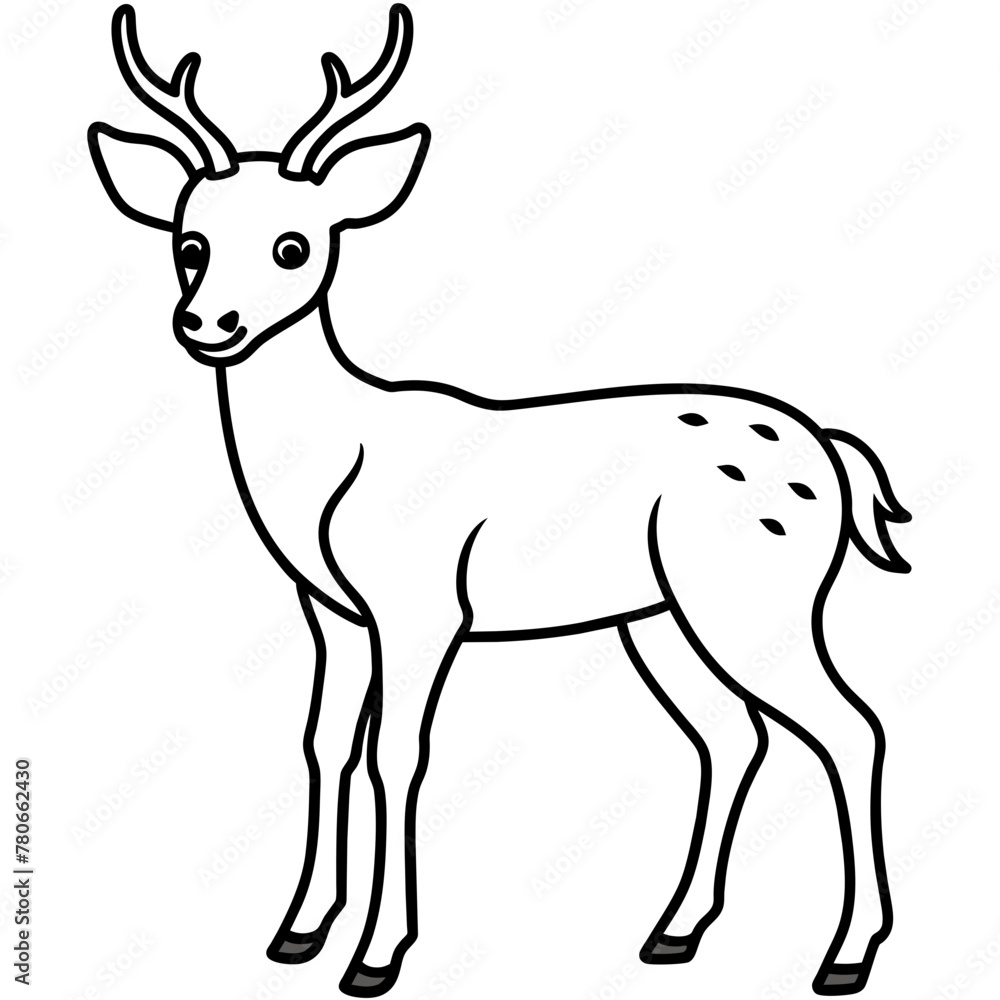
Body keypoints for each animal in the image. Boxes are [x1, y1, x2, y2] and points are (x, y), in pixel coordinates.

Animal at [89, 5, 911, 996]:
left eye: (296, 245)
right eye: (189, 242)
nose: (209, 324)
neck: (335, 462)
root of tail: (832, 453)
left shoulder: (421, 605)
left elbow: (396, 756)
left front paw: (375, 956)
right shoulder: (330, 611)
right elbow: (324, 744)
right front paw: (297, 931)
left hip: (759, 596)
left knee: (852, 726)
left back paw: (847, 955)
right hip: (662, 616)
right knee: (732, 735)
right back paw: (673, 932)